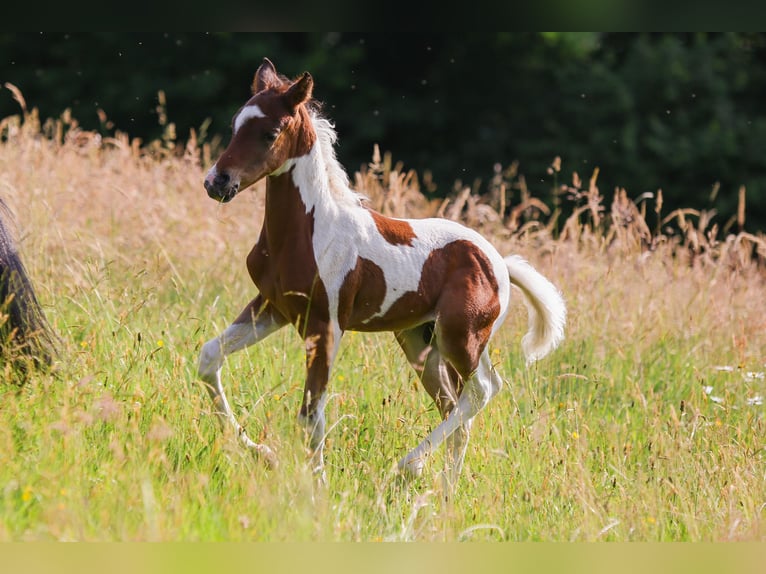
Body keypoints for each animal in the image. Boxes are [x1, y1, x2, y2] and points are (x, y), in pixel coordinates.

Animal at [201, 58, 568, 488]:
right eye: (235, 124)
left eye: (270, 132)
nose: (217, 183)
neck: (307, 230)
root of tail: (499, 263)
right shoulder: (273, 307)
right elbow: (209, 358)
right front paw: (263, 454)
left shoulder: (326, 324)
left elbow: (312, 415)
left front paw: (316, 485)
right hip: (421, 341)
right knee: (455, 407)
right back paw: (445, 490)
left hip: (461, 338)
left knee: (481, 391)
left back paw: (411, 467)